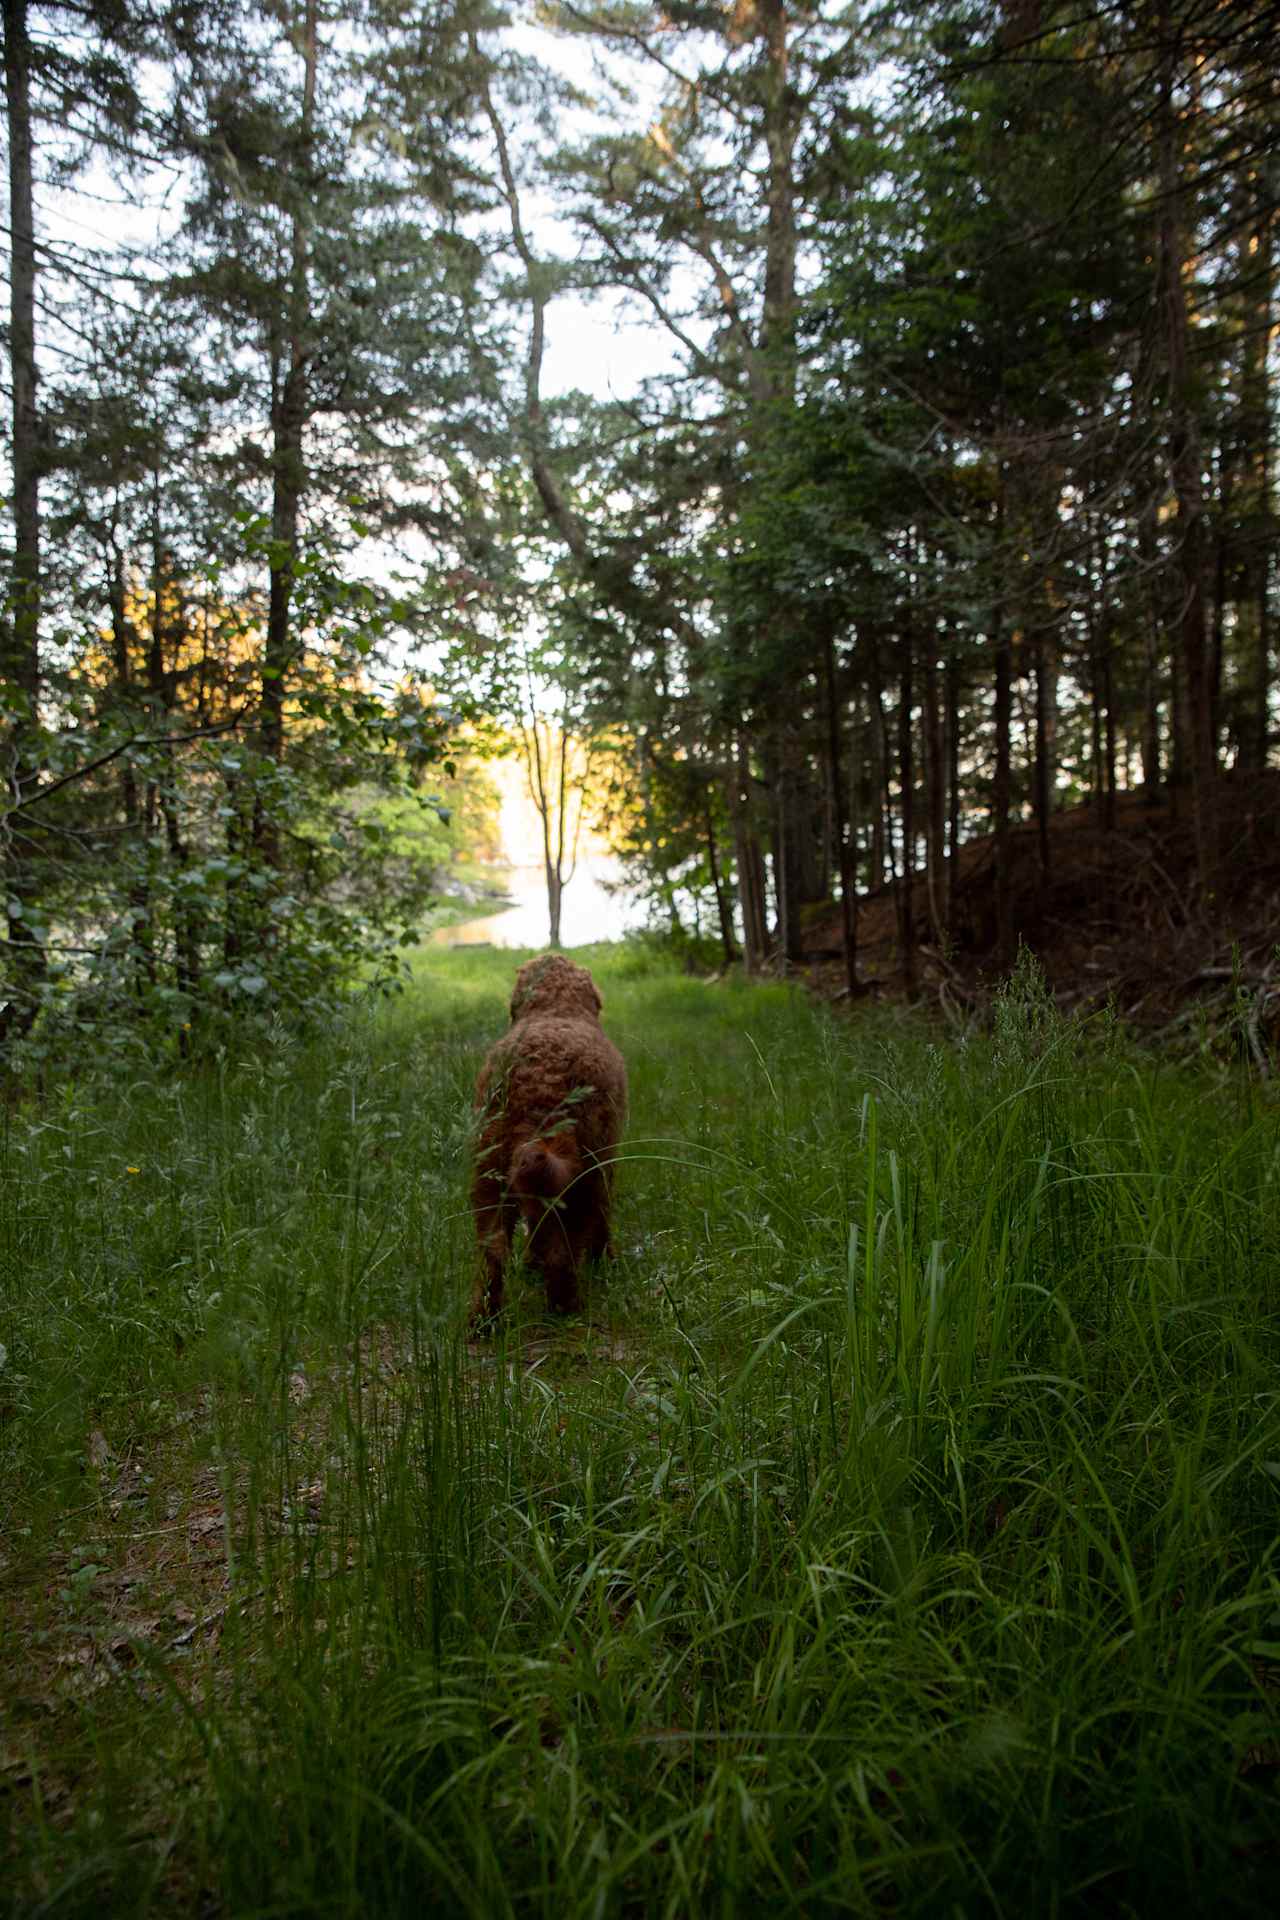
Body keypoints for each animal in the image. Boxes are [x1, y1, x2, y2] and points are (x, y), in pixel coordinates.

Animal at [470, 956, 629, 1320]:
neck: (556, 1008)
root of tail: (538, 1089)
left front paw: (530, 1263)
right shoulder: (605, 1163)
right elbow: (600, 1219)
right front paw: (604, 1262)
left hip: (492, 1170)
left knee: (492, 1251)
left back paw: (485, 1318)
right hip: (584, 1173)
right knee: (563, 1251)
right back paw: (566, 1306)